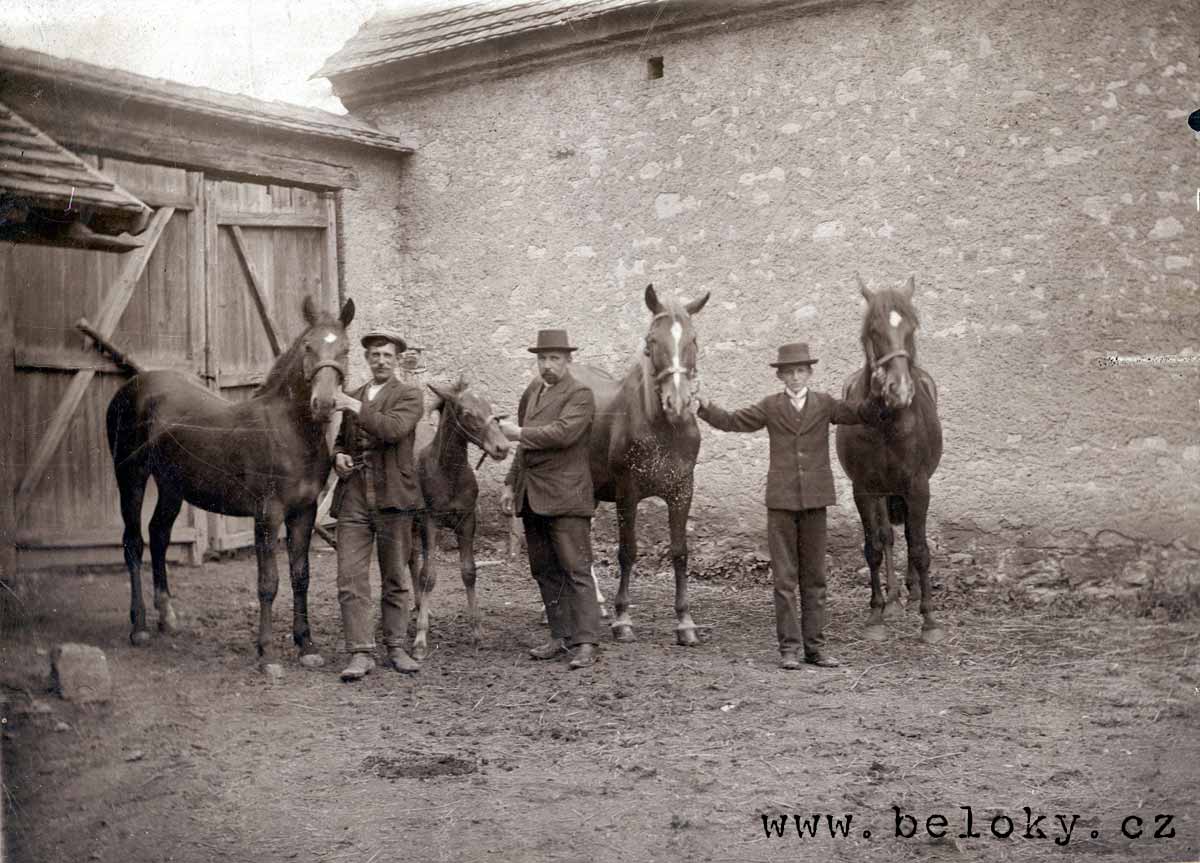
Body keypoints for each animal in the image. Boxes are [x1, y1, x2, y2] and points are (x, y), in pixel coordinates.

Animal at [102, 295, 355, 674]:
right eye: (308, 346)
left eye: (346, 349)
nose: (323, 405)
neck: (291, 433)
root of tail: (130, 388)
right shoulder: (268, 514)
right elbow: (268, 582)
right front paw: (267, 654)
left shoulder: (304, 513)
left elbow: (301, 576)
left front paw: (307, 645)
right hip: (130, 476)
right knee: (134, 542)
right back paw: (140, 626)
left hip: (171, 485)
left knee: (159, 534)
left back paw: (167, 617)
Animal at [409, 375, 511, 660]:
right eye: (466, 413)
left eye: (491, 409)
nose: (502, 447)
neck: (449, 475)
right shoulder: (430, 521)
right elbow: (429, 575)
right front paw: (420, 640)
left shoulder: (467, 521)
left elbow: (469, 571)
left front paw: (477, 633)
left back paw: (421, 606)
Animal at [571, 283, 709, 646]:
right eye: (651, 341)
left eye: (693, 339)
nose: (678, 403)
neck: (663, 428)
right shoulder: (627, 493)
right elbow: (627, 551)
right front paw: (623, 619)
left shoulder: (682, 491)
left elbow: (679, 552)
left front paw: (685, 623)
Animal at [835, 275, 944, 644]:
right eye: (873, 330)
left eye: (912, 327)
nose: (900, 390)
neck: (886, 421)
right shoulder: (865, 489)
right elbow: (874, 547)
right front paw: (876, 614)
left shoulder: (918, 486)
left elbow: (920, 548)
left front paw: (929, 621)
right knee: (888, 536)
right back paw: (894, 601)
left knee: (910, 536)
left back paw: (911, 596)